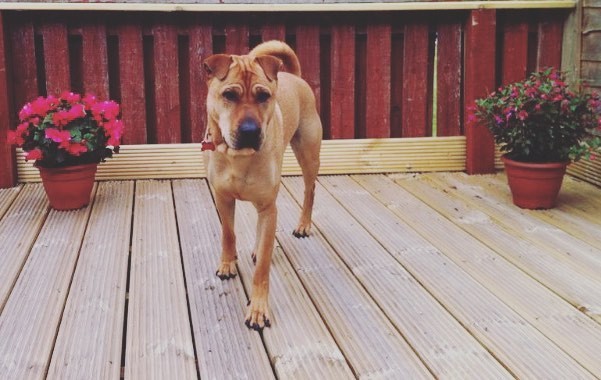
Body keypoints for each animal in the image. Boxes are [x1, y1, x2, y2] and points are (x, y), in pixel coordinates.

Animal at [202, 40, 322, 330]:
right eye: (229, 95)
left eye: (263, 96)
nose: (249, 130)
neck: (237, 156)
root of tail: (295, 76)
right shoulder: (223, 198)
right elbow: (228, 233)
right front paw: (227, 263)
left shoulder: (269, 206)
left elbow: (263, 270)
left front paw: (257, 308)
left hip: (308, 153)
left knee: (310, 189)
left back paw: (303, 224)